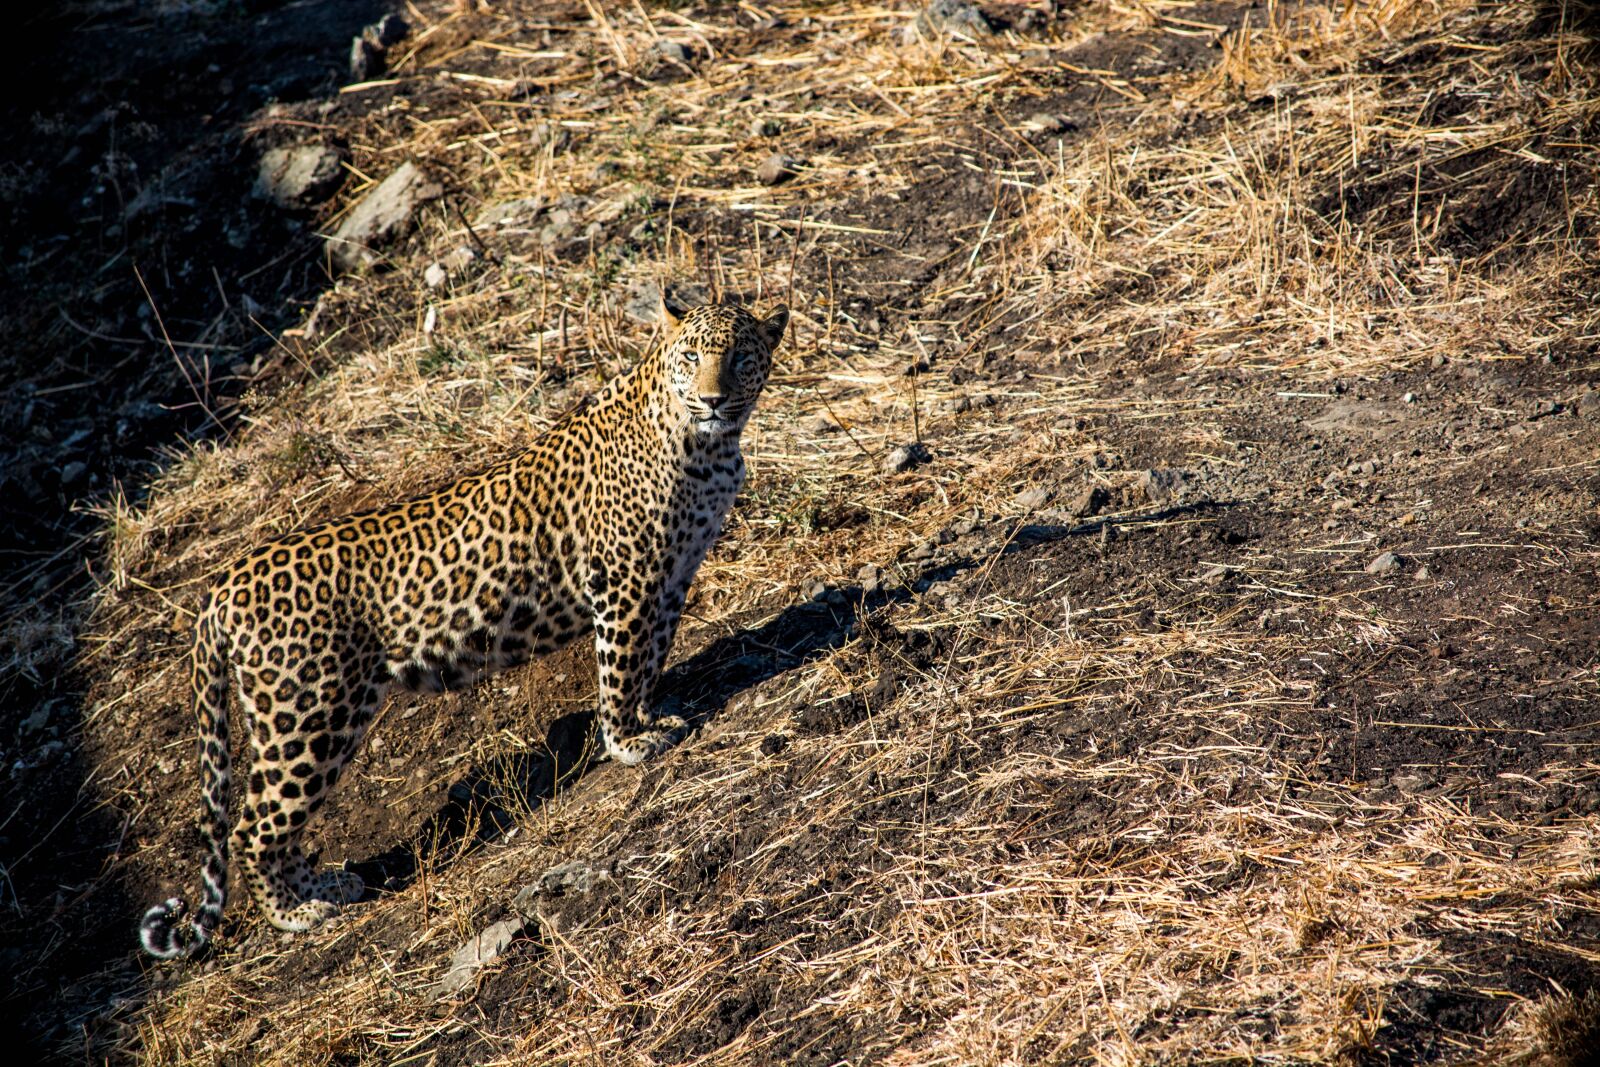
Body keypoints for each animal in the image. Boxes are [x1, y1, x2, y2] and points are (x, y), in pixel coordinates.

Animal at [140, 298, 789, 959]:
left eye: (741, 356)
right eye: (693, 356)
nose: (713, 399)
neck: (708, 447)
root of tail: (223, 584)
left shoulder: (673, 575)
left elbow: (652, 655)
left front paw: (652, 718)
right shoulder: (623, 579)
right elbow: (623, 663)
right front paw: (628, 742)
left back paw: (328, 886)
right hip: (309, 713)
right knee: (253, 825)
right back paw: (296, 913)